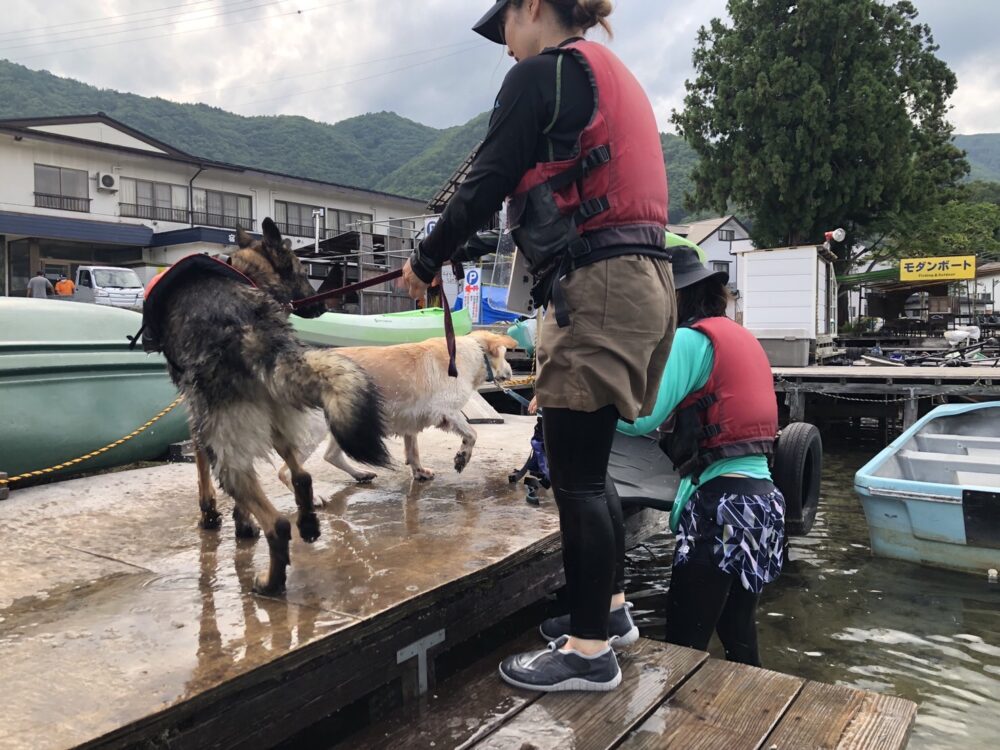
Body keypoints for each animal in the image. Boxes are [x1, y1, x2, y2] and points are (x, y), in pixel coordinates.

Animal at [159, 220, 386, 596]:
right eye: (302, 271)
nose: (320, 307)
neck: (249, 272)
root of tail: (251, 327)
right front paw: (242, 524)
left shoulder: (196, 415)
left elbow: (201, 468)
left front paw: (212, 516)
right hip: (278, 415)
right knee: (301, 475)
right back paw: (308, 524)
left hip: (228, 443)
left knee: (277, 523)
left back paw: (270, 582)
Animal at [280, 330, 516, 488]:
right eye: (506, 356)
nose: (511, 372)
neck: (475, 351)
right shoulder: (446, 412)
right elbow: (472, 434)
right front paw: (462, 457)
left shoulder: (411, 420)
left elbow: (413, 451)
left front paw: (419, 472)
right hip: (316, 429)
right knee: (286, 473)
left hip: (349, 423)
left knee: (331, 456)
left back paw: (360, 474)